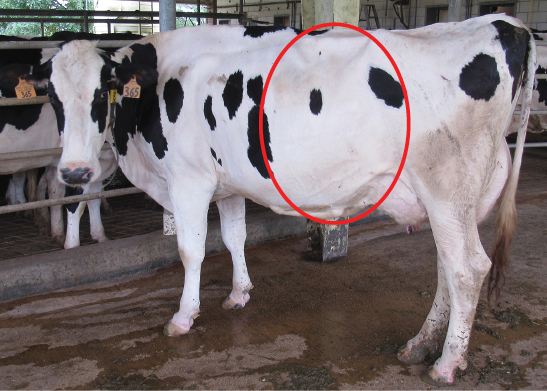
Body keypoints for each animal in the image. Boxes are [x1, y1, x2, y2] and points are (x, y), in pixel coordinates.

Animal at [28, 15, 536, 386]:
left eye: (101, 94)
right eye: (52, 97)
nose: (74, 172)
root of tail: (502, 23)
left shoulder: (189, 181)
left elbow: (191, 251)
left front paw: (183, 317)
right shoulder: (228, 183)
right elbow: (233, 238)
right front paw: (238, 294)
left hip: (448, 191)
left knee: (467, 269)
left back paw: (447, 362)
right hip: (451, 202)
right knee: (447, 269)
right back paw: (421, 345)